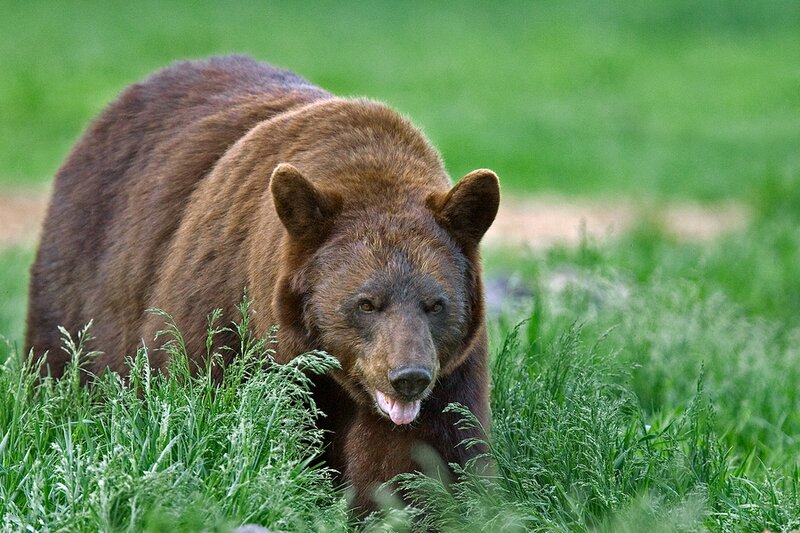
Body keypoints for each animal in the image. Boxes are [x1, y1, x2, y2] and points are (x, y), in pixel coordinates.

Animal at [26, 55, 500, 511]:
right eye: (366, 303)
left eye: (435, 304)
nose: (409, 376)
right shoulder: (220, 316)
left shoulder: (450, 374)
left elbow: (422, 457)